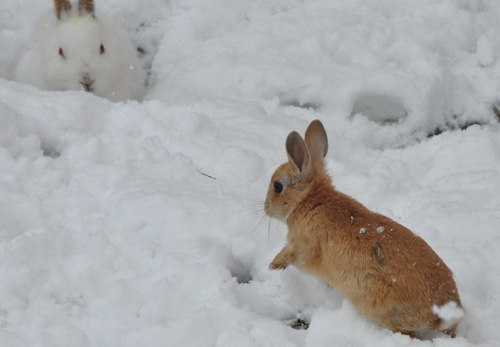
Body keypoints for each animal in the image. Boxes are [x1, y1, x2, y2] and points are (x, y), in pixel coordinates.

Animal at [266, 119, 464, 340]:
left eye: (277, 186)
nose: (265, 208)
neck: (309, 200)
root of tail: (444, 314)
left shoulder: (303, 247)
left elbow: (291, 255)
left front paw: (273, 265)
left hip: (383, 311)